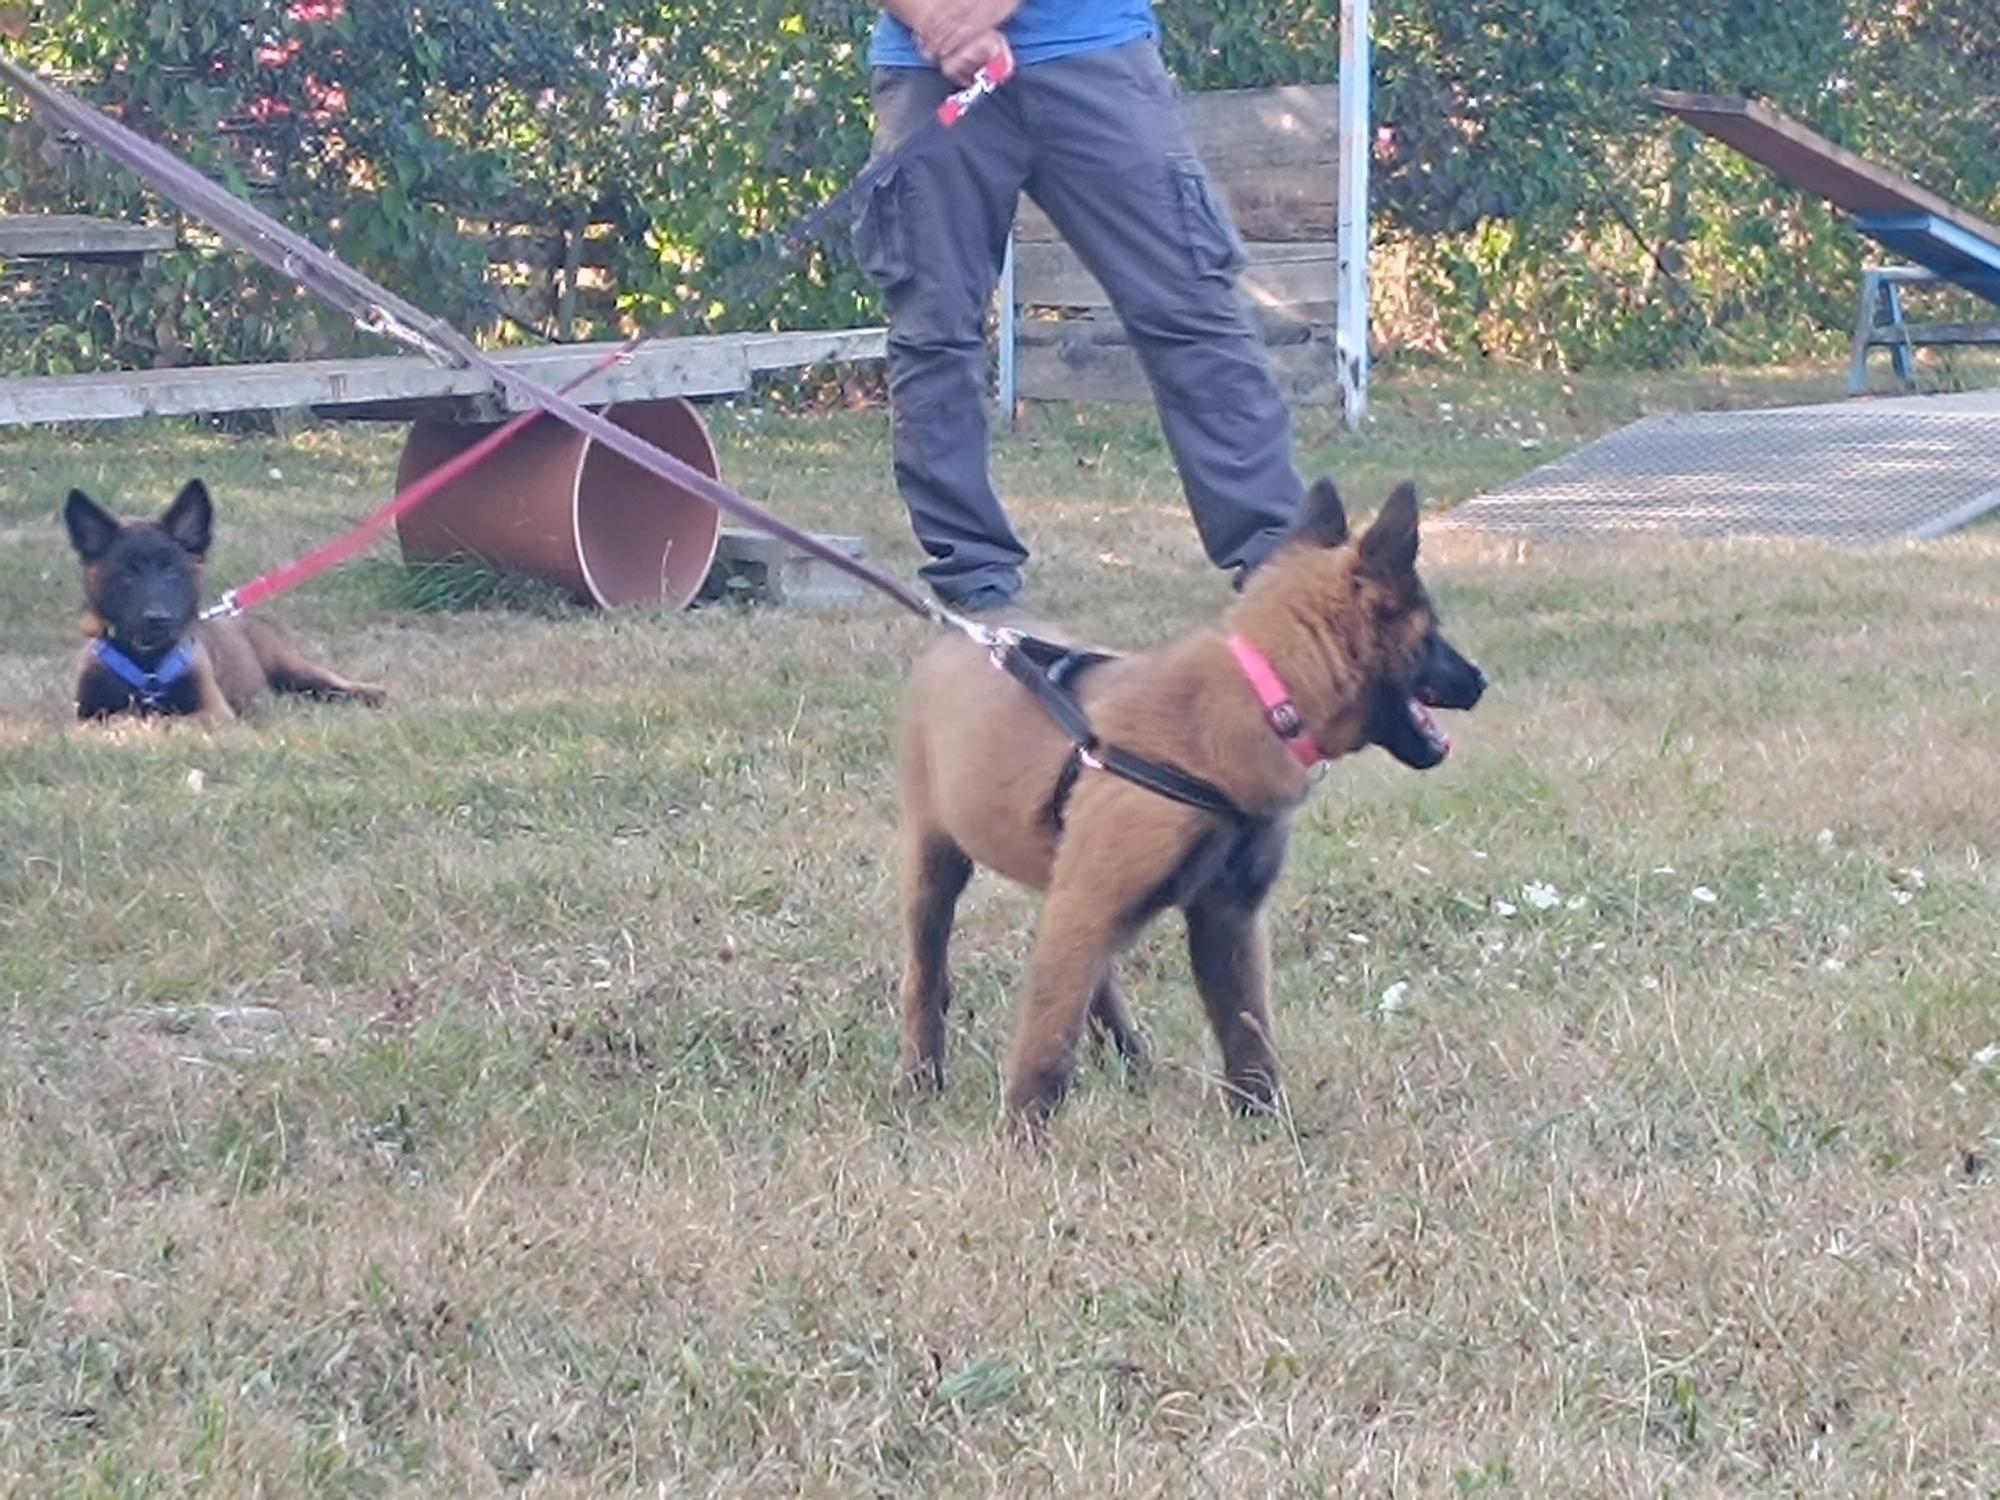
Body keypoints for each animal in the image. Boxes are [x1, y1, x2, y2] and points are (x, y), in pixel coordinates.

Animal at [896, 482, 1488, 1136]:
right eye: (1433, 633)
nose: (1481, 681)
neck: (1266, 696)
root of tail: (967, 632)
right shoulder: (1093, 904)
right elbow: (1046, 1046)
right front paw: (1022, 1142)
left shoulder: (1223, 915)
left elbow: (1248, 1033)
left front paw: (1265, 1129)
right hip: (938, 864)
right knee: (928, 978)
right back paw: (921, 1078)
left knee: (1094, 981)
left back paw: (1132, 1060)